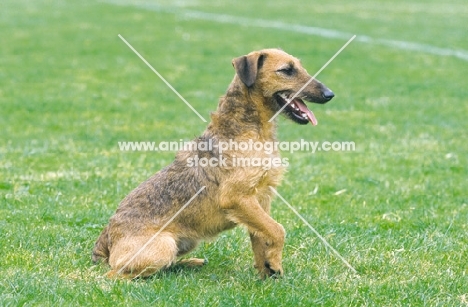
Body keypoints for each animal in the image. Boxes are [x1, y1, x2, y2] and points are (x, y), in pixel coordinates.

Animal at [91, 48, 332, 280]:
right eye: (286, 70)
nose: (330, 94)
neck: (252, 128)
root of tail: (105, 241)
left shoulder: (261, 200)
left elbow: (261, 237)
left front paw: (267, 272)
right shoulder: (238, 198)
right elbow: (277, 230)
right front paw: (274, 264)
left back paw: (191, 263)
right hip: (162, 247)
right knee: (116, 275)